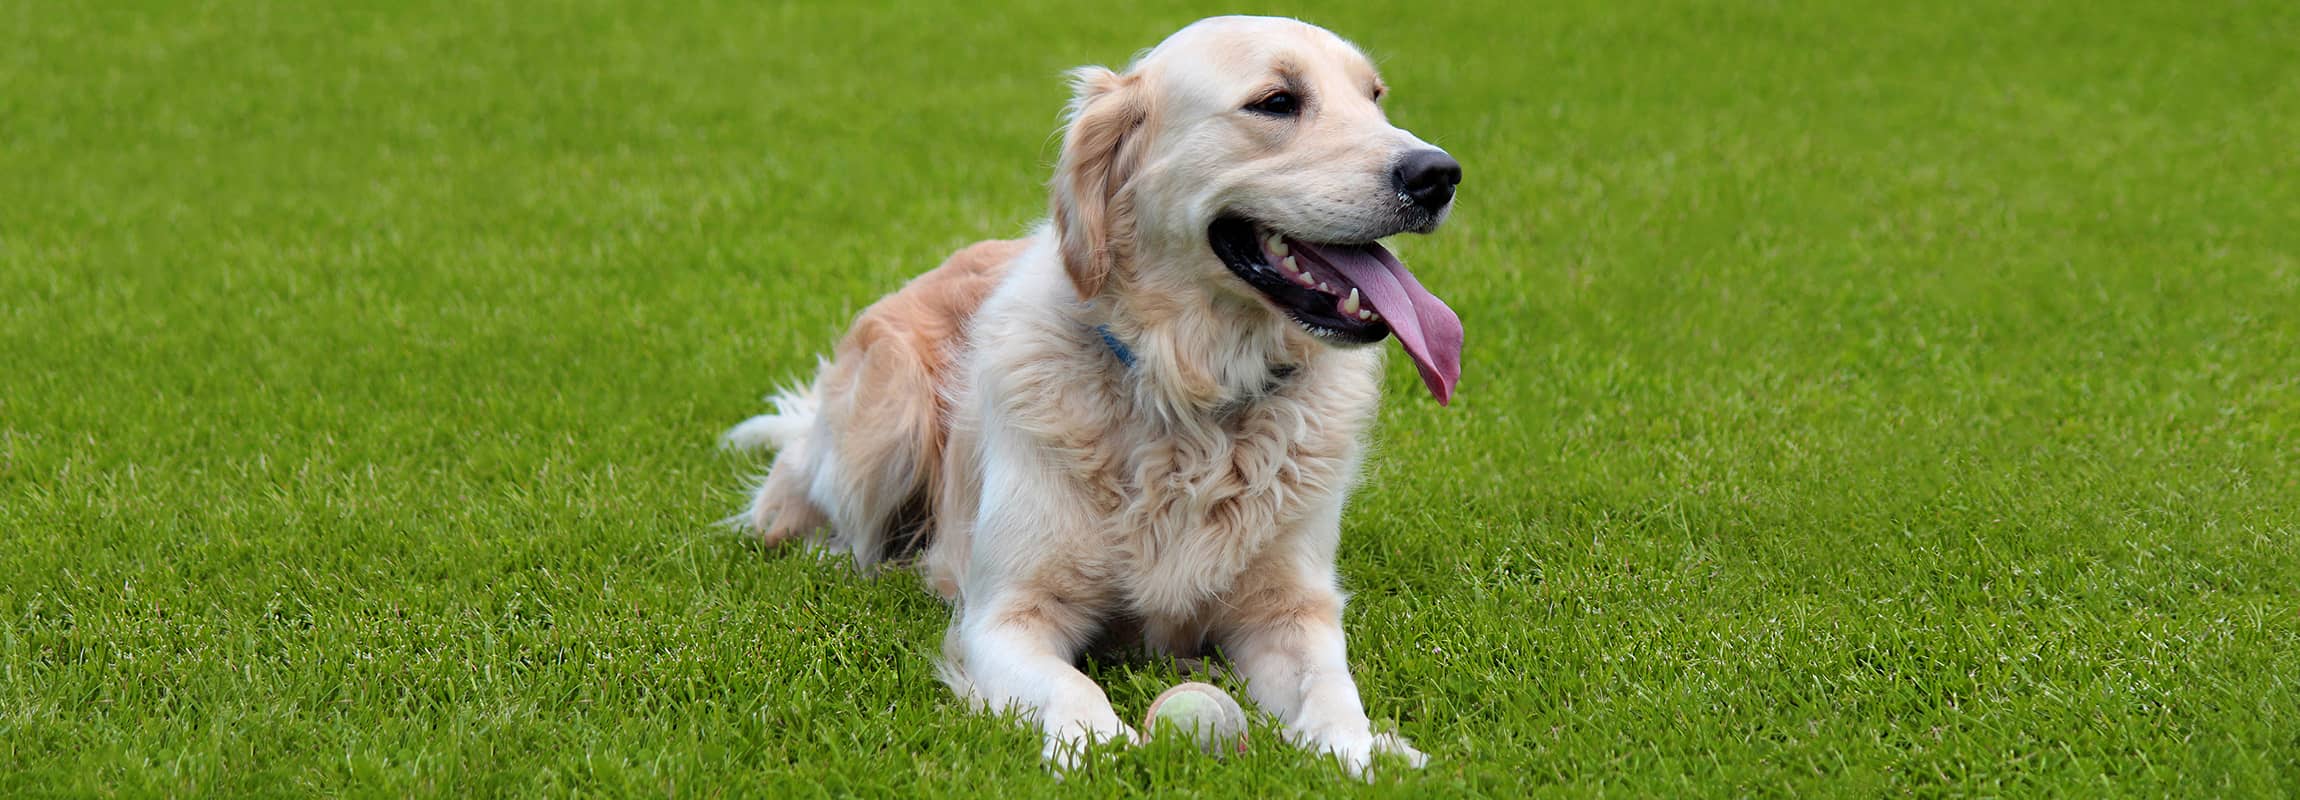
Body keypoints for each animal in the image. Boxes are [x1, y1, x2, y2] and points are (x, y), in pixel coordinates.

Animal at [726, 14, 1462, 777]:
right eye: (1277, 102)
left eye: (1375, 97)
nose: (1437, 174)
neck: (1189, 397)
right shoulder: (1007, 615)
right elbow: (1071, 685)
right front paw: (1100, 744)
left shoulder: (1293, 609)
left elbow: (1331, 685)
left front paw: (1359, 748)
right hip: (887, 417)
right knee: (798, 509)